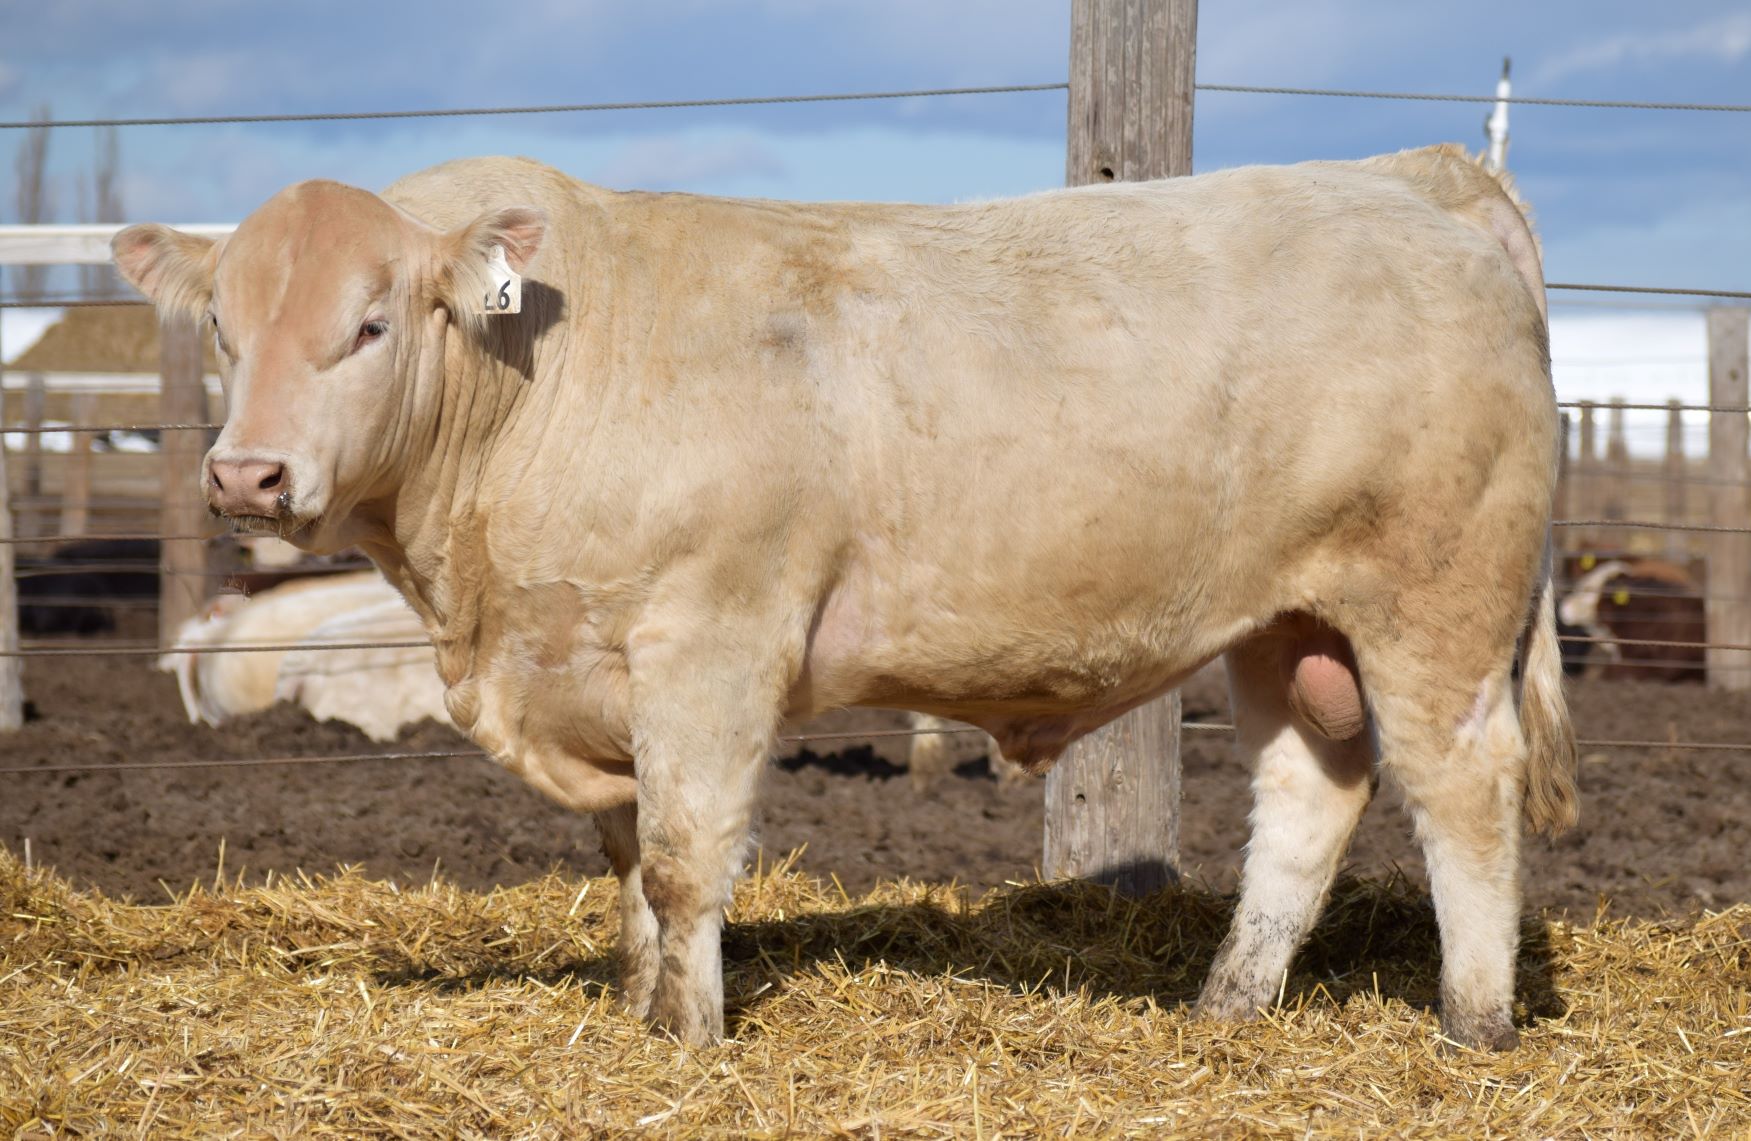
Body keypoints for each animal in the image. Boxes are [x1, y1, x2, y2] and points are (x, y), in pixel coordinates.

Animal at [112, 143, 1575, 1051]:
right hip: (1283, 624)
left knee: (1460, 786)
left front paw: (691, 1037)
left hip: (1434, 603)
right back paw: (1227, 1003)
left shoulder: (710, 639)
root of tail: (1410, 179)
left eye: (367, 325)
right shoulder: (585, 663)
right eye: (225, 330)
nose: (246, 473)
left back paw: (1472, 1023)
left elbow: (683, 852)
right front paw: (639, 1008)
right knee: (1305, 793)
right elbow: (625, 858)